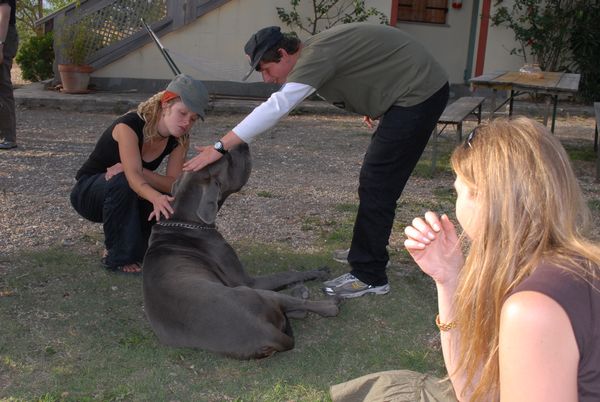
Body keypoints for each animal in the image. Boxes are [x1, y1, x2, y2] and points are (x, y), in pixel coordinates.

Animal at [142, 144, 340, 359]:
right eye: (228, 158)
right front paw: (317, 272)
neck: (182, 221)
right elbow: (288, 273)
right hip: (256, 293)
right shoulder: (249, 281)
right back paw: (323, 300)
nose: (243, 144)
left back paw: (300, 291)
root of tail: (265, 332)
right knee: (309, 308)